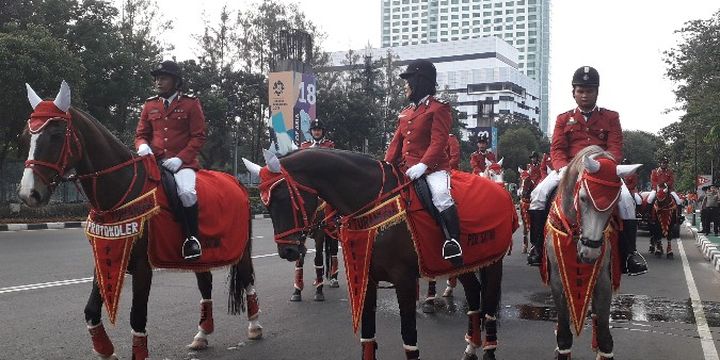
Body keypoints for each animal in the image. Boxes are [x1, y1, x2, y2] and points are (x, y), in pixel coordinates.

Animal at [17, 82, 262, 360]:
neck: (119, 192)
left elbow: (137, 317)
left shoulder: (143, 266)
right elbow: (91, 311)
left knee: (247, 278)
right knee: (205, 283)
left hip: (241, 249)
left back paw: (254, 326)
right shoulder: (105, 254)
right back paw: (202, 334)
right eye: (25, 137)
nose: (28, 193)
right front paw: (105, 350)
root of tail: (236, 182)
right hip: (205, 255)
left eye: (56, 135)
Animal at [245, 148, 510, 360]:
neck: (372, 203)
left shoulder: (404, 280)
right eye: (265, 203)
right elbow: (367, 335)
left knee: (488, 304)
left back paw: (487, 349)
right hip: (460, 263)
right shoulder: (366, 277)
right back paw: (470, 348)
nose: (287, 250)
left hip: (493, 261)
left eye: (281, 197)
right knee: (474, 294)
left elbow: (409, 337)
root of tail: (500, 191)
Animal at [544, 145, 640, 358]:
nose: (590, 253)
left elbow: (605, 337)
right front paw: (561, 347)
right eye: (583, 198)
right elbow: (564, 334)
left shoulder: (603, 280)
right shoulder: (557, 280)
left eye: (615, 201)